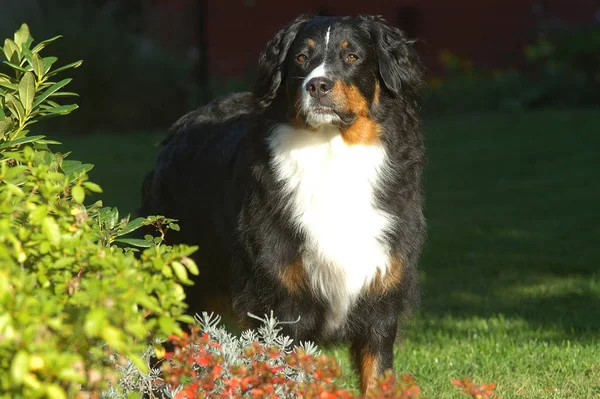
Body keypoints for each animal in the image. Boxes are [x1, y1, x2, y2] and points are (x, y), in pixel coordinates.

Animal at [139, 14, 426, 394]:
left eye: (352, 57)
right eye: (301, 58)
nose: (317, 85)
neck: (331, 155)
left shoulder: (380, 306)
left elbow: (376, 378)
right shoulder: (281, 305)